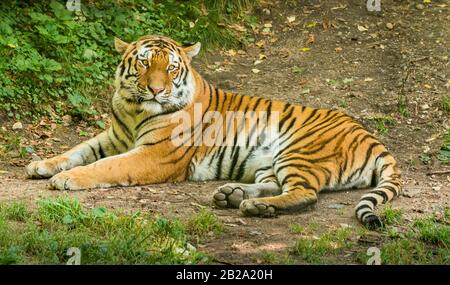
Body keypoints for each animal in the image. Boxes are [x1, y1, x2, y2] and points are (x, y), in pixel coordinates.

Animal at [26, 34, 402, 229]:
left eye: (171, 67)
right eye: (145, 63)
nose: (156, 90)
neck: (134, 109)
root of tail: (372, 138)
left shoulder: (154, 154)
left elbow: (106, 166)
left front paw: (66, 179)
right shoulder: (114, 137)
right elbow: (78, 150)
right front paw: (41, 165)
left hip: (299, 150)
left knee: (306, 194)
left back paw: (254, 208)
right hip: (269, 161)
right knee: (275, 185)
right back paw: (232, 195)